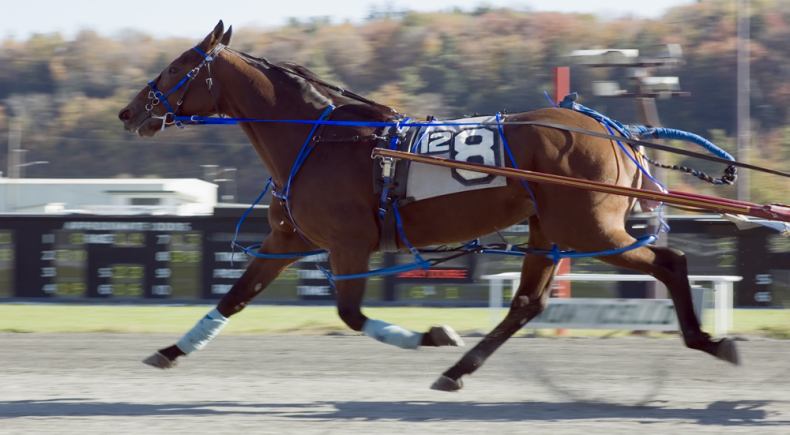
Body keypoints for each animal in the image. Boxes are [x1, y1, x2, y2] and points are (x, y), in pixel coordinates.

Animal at [119, 20, 744, 394]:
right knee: (527, 304)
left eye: (177, 67)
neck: (320, 140)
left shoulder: (349, 243)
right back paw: (457, 372)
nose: (130, 112)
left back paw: (710, 341)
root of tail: (613, 128)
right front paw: (170, 350)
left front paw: (434, 334)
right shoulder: (290, 239)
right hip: (550, 228)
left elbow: (350, 315)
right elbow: (234, 297)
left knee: (670, 264)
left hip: (588, 227)